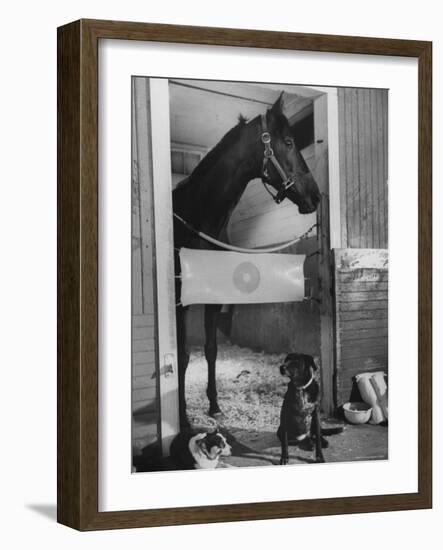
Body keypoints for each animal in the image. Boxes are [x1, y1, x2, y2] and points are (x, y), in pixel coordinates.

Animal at [172, 92, 320, 430]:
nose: (316, 196)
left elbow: (211, 350)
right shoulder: (180, 302)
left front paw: (214, 406)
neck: (197, 219)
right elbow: (184, 355)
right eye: (289, 142)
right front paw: (183, 417)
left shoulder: (214, 298)